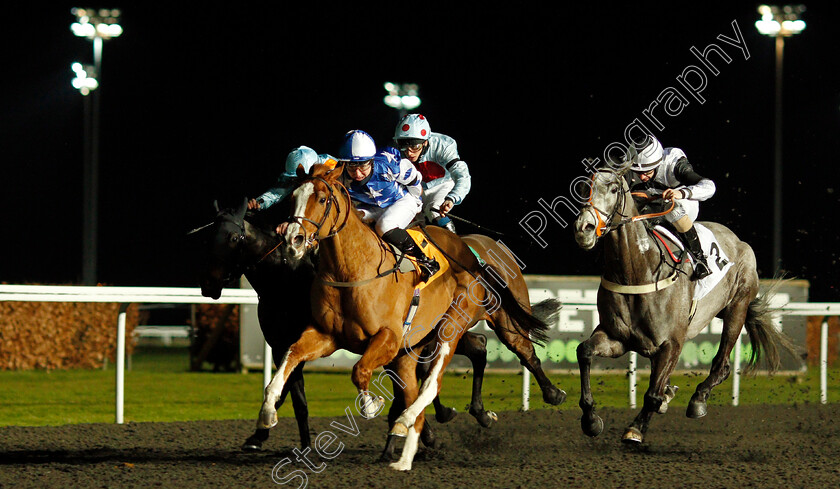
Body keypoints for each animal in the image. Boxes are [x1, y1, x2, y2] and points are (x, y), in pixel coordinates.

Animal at [266, 163, 564, 468]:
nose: (293, 240)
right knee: (462, 359)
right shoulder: (326, 335)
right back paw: (411, 449)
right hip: (415, 346)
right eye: (292, 198)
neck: (353, 270)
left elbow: (360, 371)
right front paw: (268, 411)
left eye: (322, 199)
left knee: (491, 360)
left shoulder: (389, 337)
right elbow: (291, 356)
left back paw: (553, 394)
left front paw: (372, 406)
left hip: (468, 322)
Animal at [572, 164, 796, 442]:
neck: (639, 272)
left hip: (737, 308)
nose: (584, 228)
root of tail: (738, 241)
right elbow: (584, 351)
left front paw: (636, 428)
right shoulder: (617, 338)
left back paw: (698, 399)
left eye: (613, 189)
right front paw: (590, 419)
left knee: (721, 365)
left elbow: (652, 394)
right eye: (583, 188)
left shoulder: (672, 343)